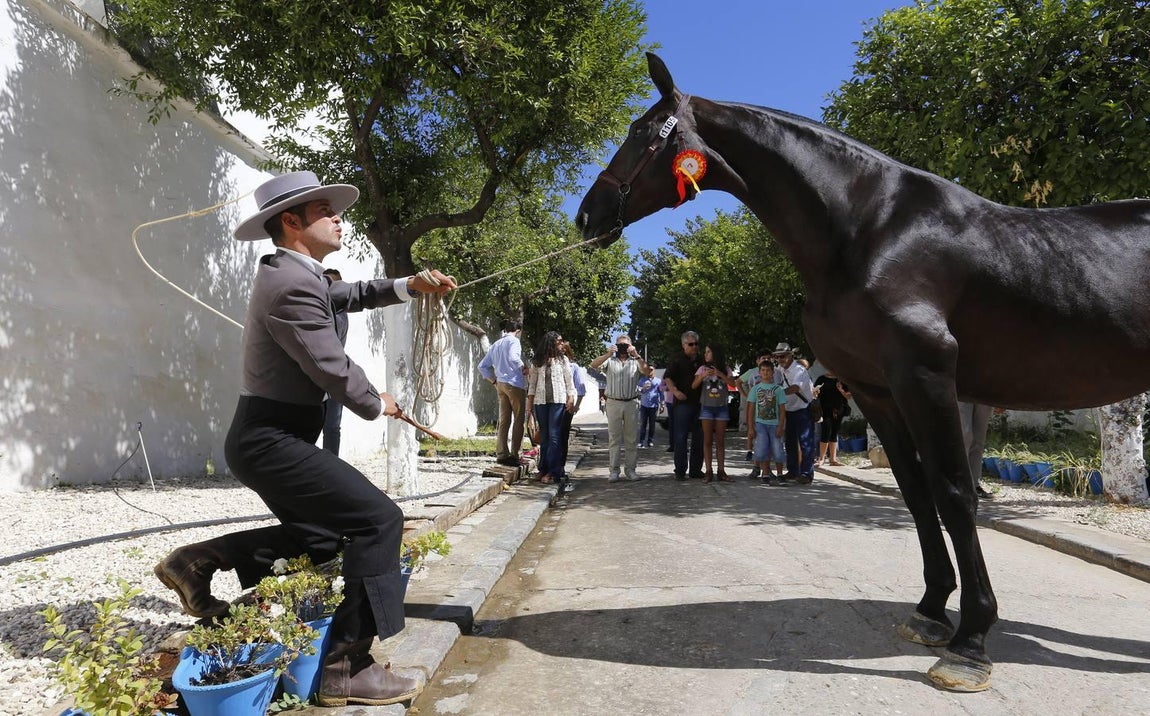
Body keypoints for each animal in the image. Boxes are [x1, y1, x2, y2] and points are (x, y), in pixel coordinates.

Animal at [576, 52, 1150, 692]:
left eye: (643, 132)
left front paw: (971, 641)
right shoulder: (879, 392)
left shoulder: (926, 377)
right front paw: (931, 611)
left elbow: (955, 494)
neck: (870, 230)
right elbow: (916, 494)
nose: (586, 216)